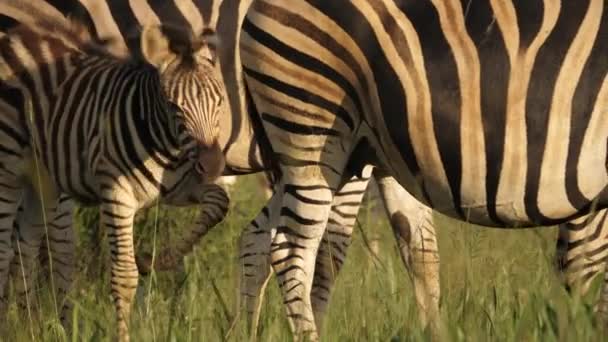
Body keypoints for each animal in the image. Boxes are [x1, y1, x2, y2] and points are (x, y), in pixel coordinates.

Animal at [0, 2, 228, 340]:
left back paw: (23, 327)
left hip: (42, 181)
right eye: (174, 107)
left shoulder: (181, 186)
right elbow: (124, 275)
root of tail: (14, 36)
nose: (212, 165)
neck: (166, 146)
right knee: (4, 250)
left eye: (220, 100)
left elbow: (219, 203)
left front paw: (156, 260)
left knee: (23, 250)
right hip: (7, 169)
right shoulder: (116, 193)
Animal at [236, 0, 608, 338]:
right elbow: (585, 268)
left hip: (339, 155)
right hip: (310, 129)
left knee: (257, 237)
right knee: (291, 251)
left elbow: (578, 268)